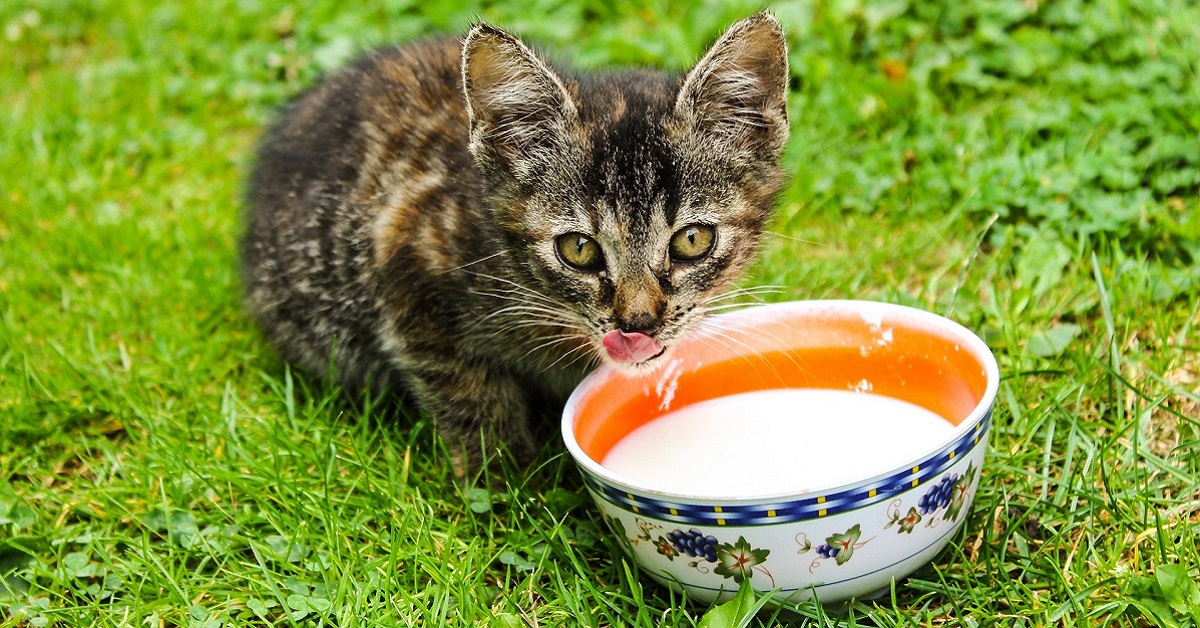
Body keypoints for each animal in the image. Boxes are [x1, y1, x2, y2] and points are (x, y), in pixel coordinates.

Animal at [240, 12, 792, 475]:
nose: (638, 323)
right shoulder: (407, 262)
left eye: (692, 240)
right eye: (578, 249)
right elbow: (466, 391)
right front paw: (506, 479)